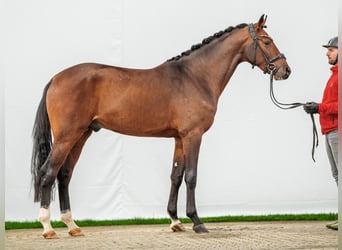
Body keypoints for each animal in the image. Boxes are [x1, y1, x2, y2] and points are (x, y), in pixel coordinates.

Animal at [30, 15, 290, 238]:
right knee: (47, 173)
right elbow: (191, 176)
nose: (286, 70)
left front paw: (175, 221)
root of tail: (56, 79)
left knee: (64, 174)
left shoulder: (179, 138)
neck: (195, 77)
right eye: (267, 41)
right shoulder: (193, 135)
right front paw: (197, 222)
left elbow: (176, 176)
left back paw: (72, 226)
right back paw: (47, 227)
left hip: (81, 135)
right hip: (66, 136)